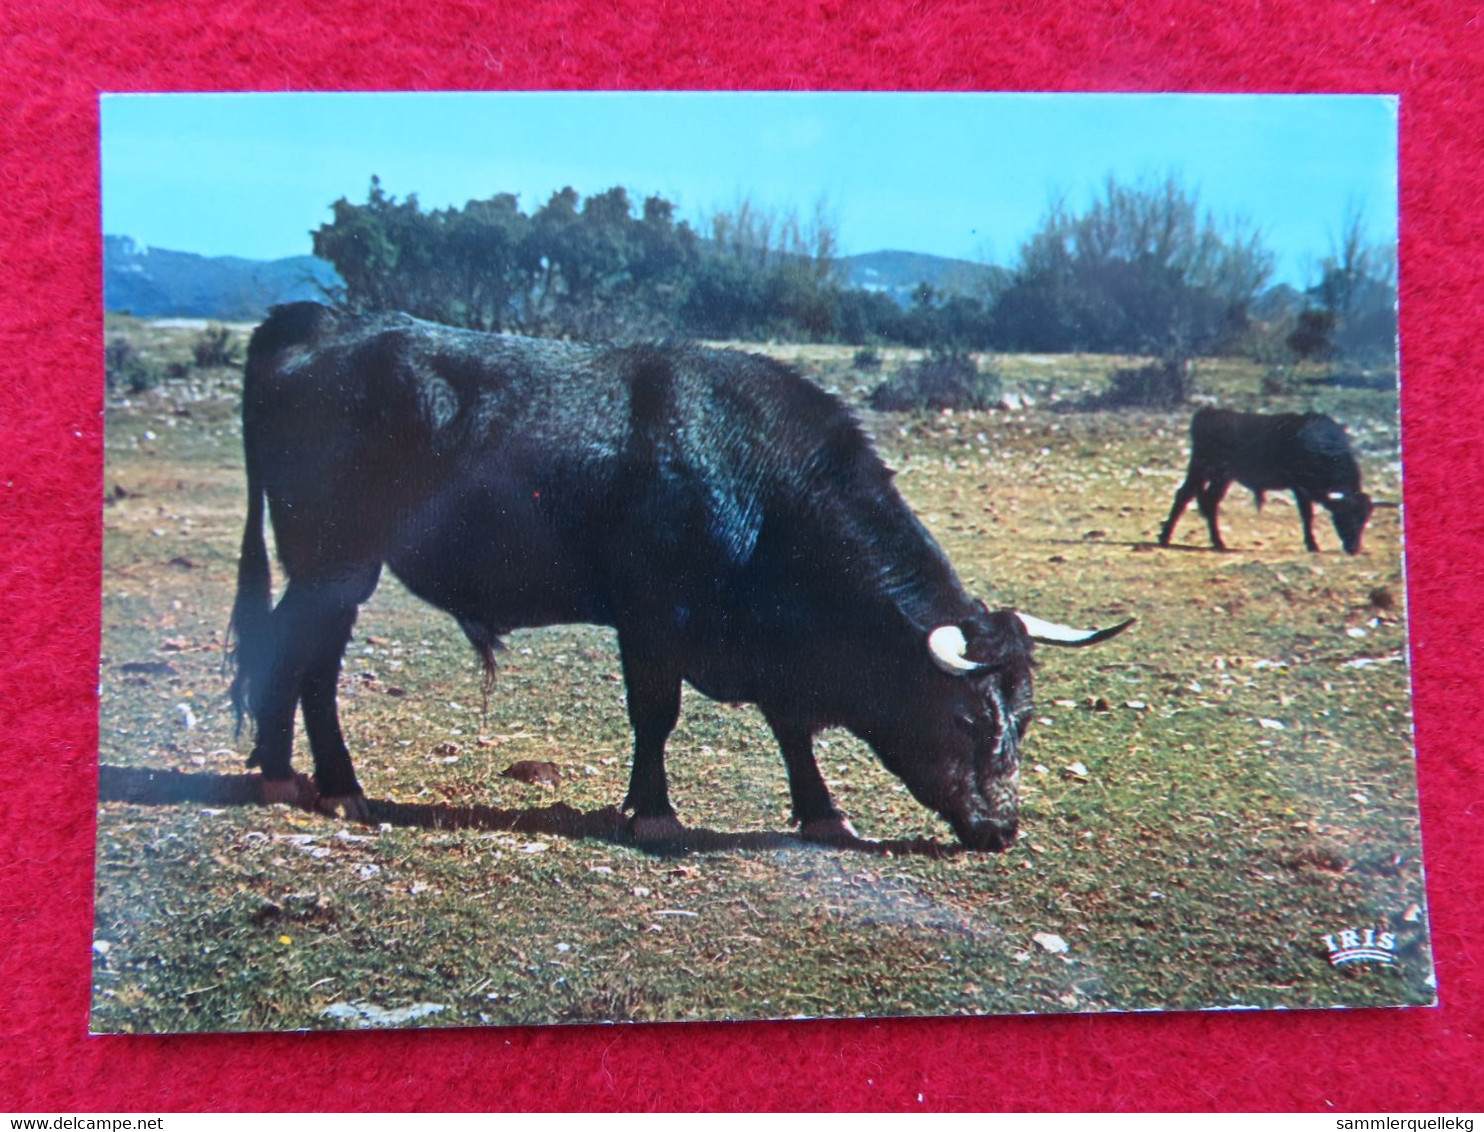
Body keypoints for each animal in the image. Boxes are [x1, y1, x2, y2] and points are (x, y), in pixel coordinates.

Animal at [231, 301, 1127, 848]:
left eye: (1026, 717)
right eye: (970, 718)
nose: (1002, 830)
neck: (765, 485)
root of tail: (315, 321)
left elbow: (791, 729)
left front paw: (822, 813)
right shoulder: (652, 619)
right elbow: (656, 716)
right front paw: (655, 812)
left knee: (298, 652)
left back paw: (300, 776)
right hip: (332, 559)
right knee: (301, 654)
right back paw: (314, 781)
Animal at [1151, 409, 1371, 554]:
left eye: (1363, 519)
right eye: (1346, 515)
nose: (1354, 548)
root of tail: (1205, 413)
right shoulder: (1299, 486)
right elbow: (1307, 515)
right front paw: (1312, 544)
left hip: (1221, 475)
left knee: (1204, 500)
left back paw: (1212, 541)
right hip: (1203, 467)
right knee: (1187, 496)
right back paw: (1170, 537)